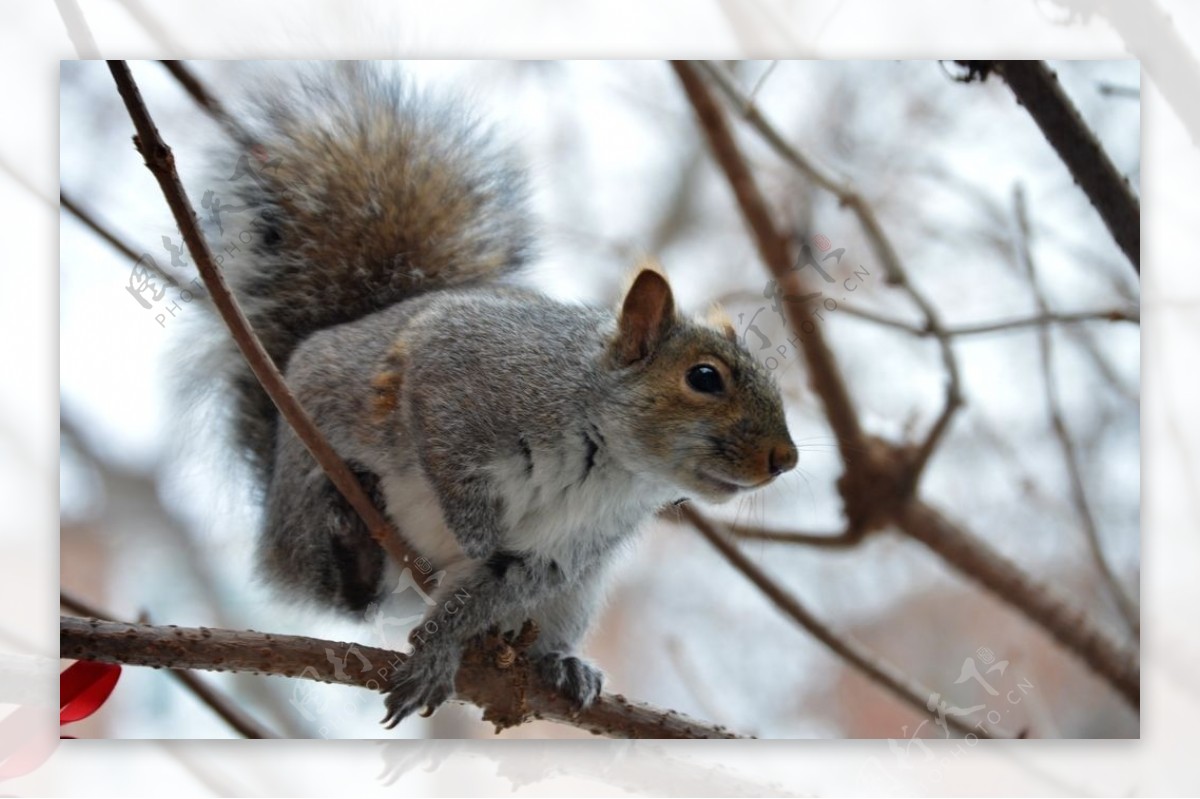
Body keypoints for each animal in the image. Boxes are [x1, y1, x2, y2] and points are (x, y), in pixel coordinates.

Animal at [205, 65, 796, 724]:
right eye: (704, 378)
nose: (786, 458)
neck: (607, 460)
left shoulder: (566, 551)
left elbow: (495, 587)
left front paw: (439, 649)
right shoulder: (459, 372)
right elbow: (447, 459)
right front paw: (473, 533)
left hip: (578, 594)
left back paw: (559, 662)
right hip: (305, 473)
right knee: (328, 582)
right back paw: (350, 536)